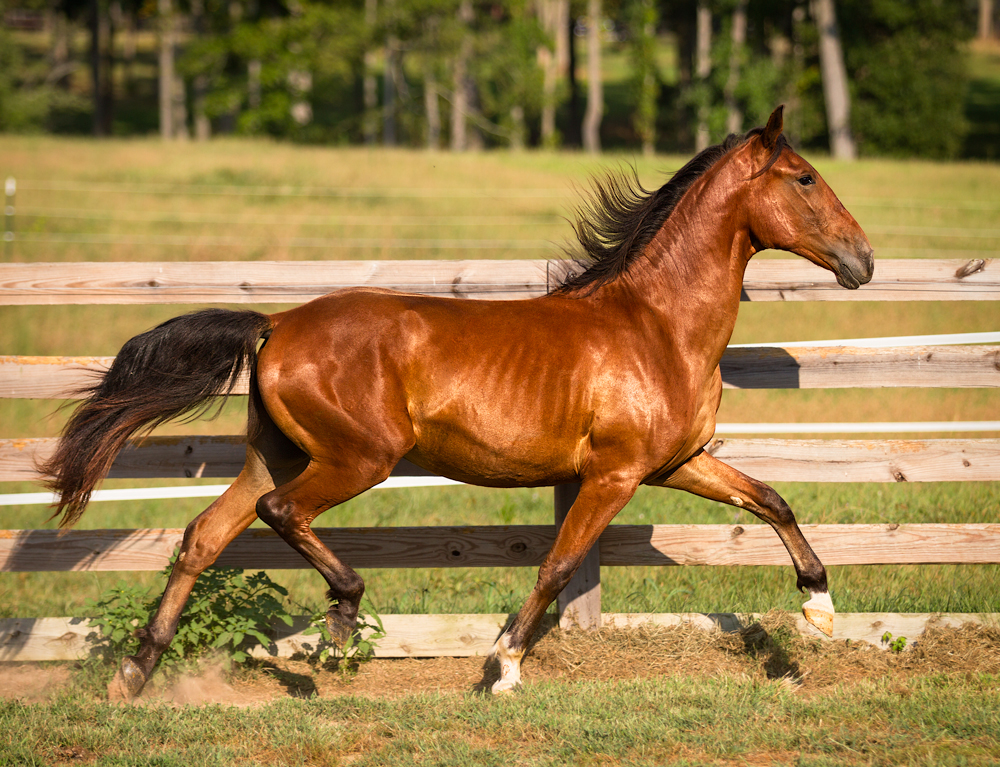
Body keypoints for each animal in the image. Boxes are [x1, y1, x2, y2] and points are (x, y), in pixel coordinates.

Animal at [45, 105, 876, 700]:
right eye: (804, 178)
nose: (863, 259)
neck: (657, 327)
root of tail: (275, 323)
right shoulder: (614, 474)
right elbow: (558, 563)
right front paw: (502, 665)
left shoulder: (678, 462)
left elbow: (771, 499)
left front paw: (820, 607)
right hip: (357, 458)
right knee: (283, 514)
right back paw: (341, 618)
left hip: (272, 455)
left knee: (203, 536)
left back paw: (135, 674)